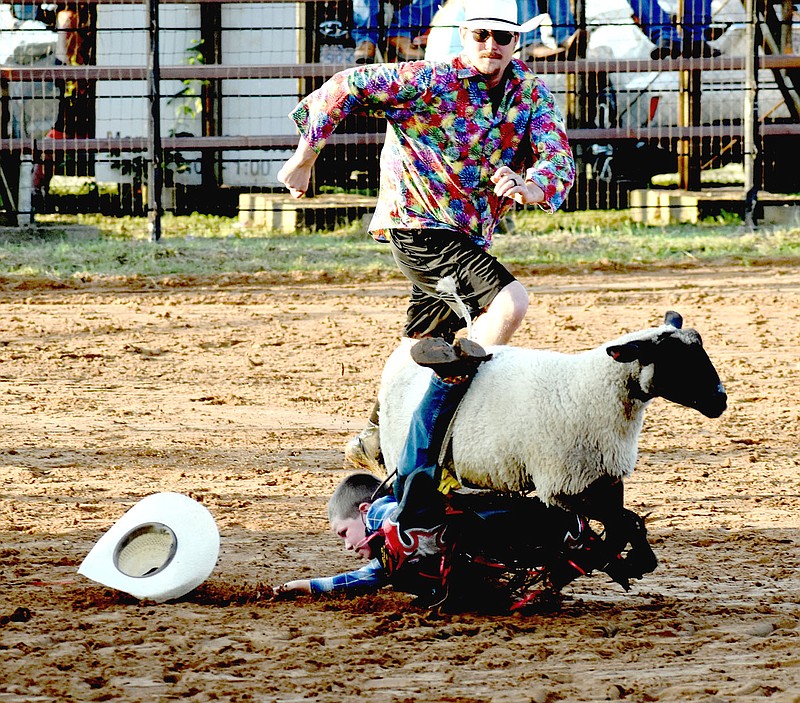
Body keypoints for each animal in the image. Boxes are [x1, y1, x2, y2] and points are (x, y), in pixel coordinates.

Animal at [378, 310, 728, 584]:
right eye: (674, 358)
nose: (720, 401)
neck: (592, 390)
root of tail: (400, 360)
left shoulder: (605, 477)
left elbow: (622, 525)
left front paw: (619, 561)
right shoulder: (562, 487)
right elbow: (625, 522)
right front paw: (621, 562)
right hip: (404, 460)